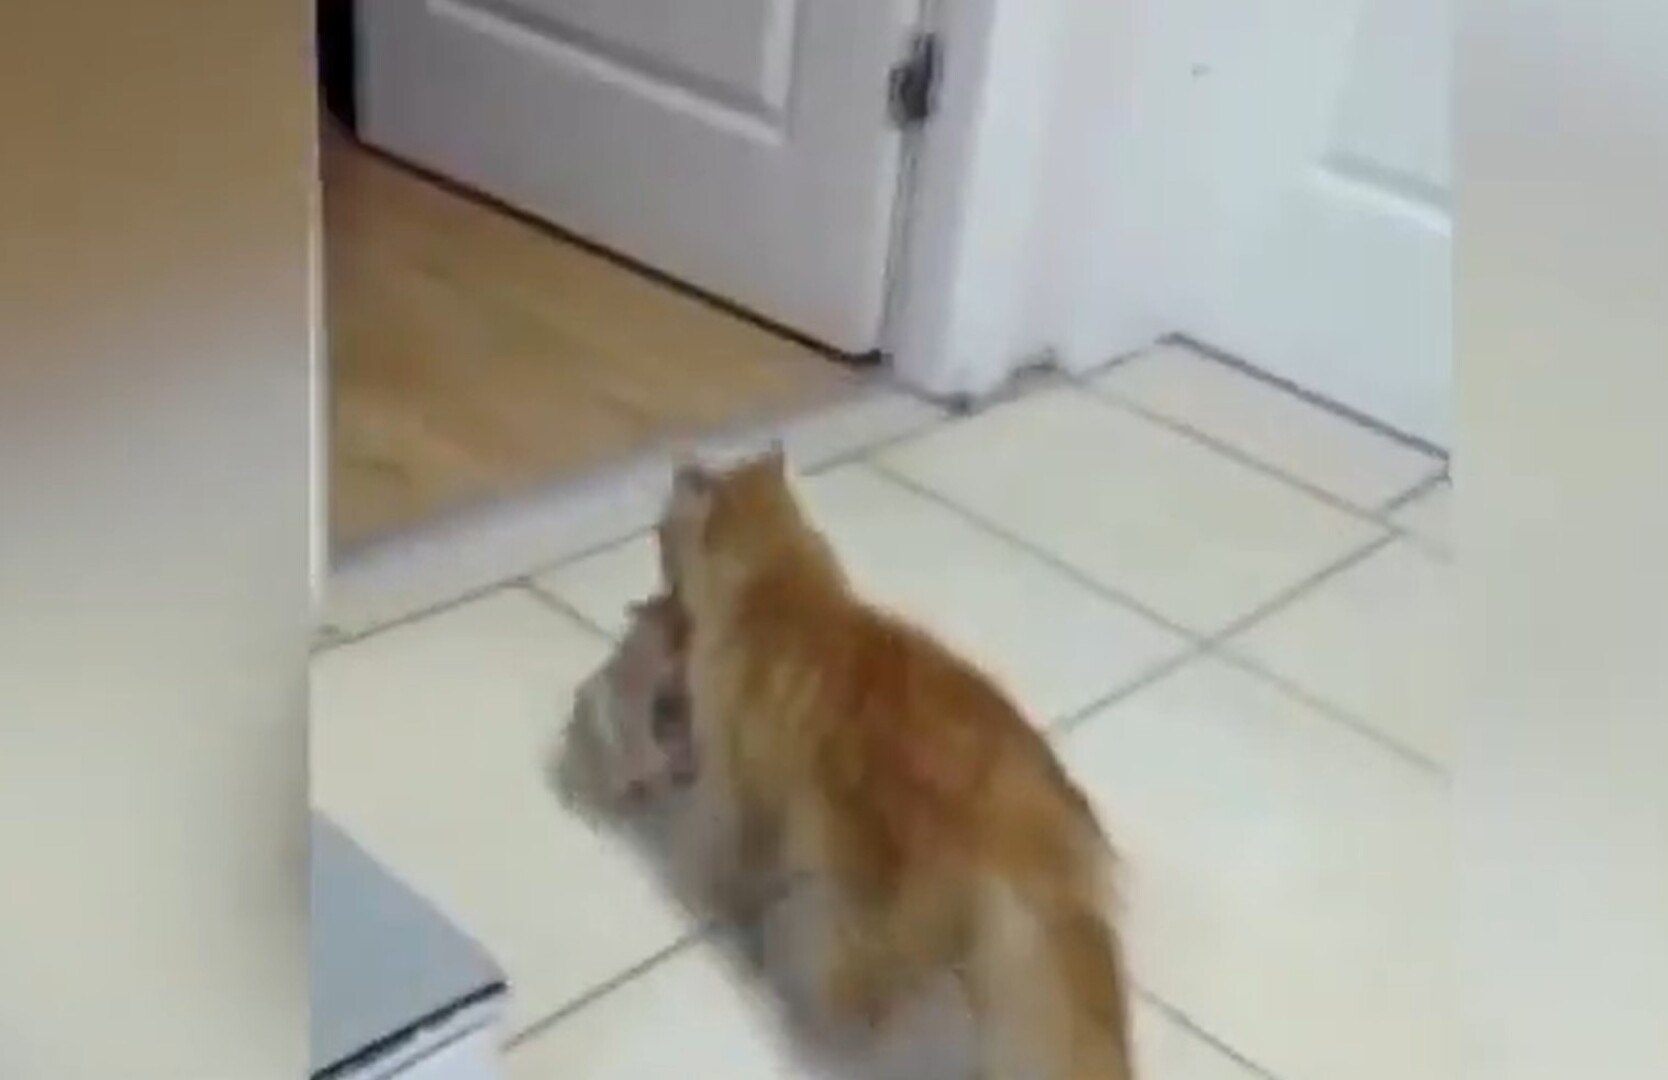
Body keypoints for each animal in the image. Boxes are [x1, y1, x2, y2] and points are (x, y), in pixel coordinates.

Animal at [654, 447, 1137, 1080]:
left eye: (661, 539)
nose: (656, 576)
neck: (777, 588)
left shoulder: (741, 778)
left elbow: (730, 851)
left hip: (872, 910)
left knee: (873, 989)